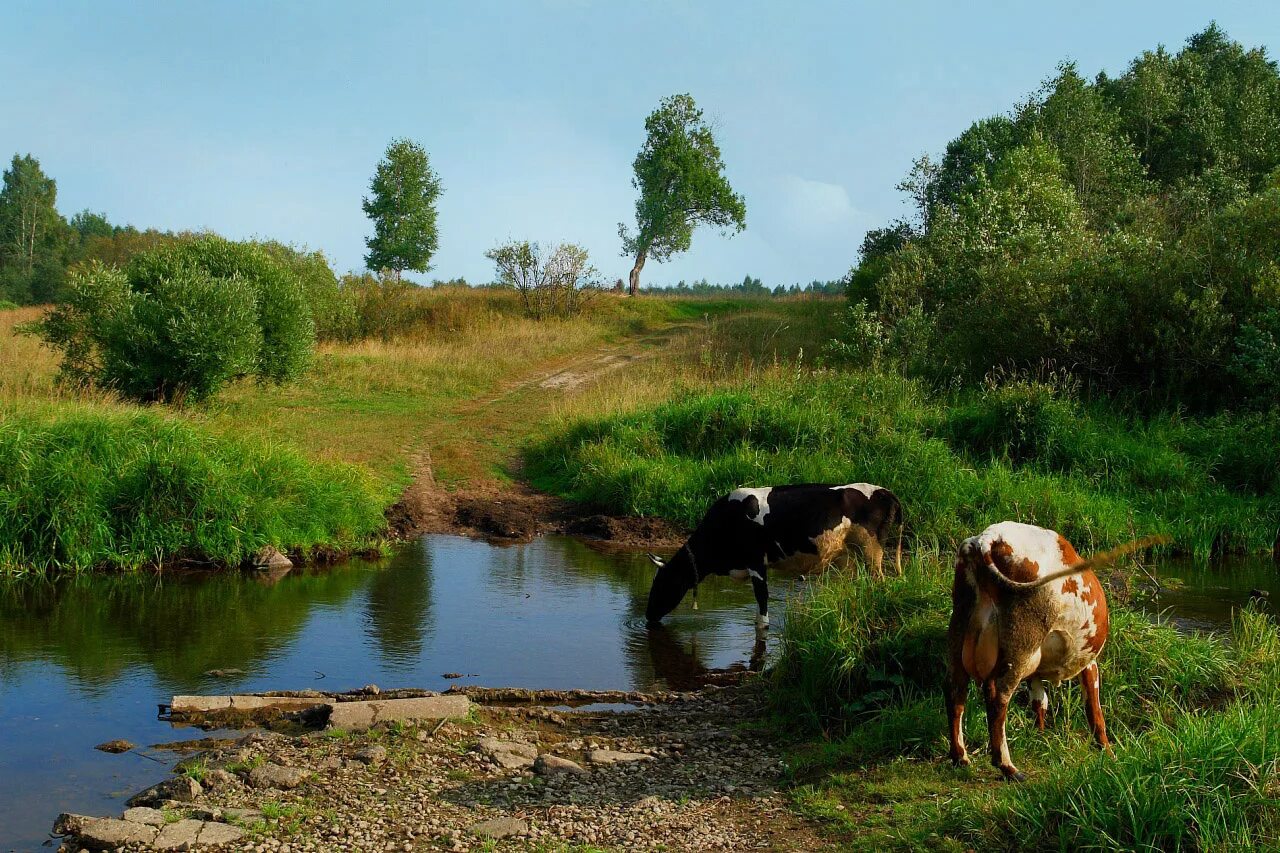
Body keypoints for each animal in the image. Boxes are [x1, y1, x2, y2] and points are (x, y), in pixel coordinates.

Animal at [645, 481, 906, 627]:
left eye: (661, 584)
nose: (647, 616)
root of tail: (884, 491)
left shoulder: (756, 563)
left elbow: (762, 602)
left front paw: (763, 627)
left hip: (871, 548)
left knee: (879, 580)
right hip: (850, 553)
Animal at [947, 517, 1167, 778]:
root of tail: (987, 538)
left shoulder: (1036, 672)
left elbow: (1039, 701)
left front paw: (1040, 735)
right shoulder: (1089, 662)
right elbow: (1095, 710)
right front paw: (1107, 751)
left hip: (960, 631)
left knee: (956, 691)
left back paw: (960, 756)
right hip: (1021, 646)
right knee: (997, 696)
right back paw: (1007, 766)